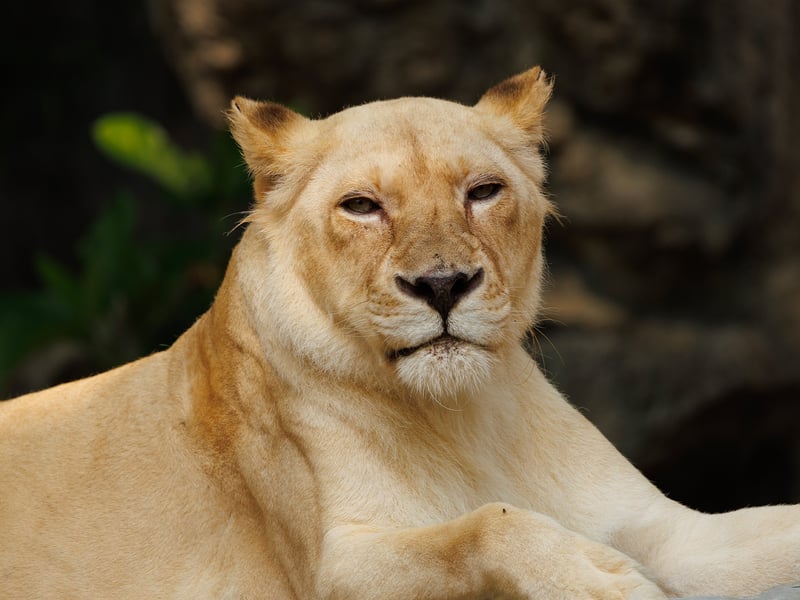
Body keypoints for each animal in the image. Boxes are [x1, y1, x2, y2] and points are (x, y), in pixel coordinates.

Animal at [1, 67, 798, 600]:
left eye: (483, 191)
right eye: (361, 206)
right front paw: (598, 579)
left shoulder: (659, 525)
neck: (463, 417)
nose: (442, 286)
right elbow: (482, 527)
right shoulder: (332, 569)